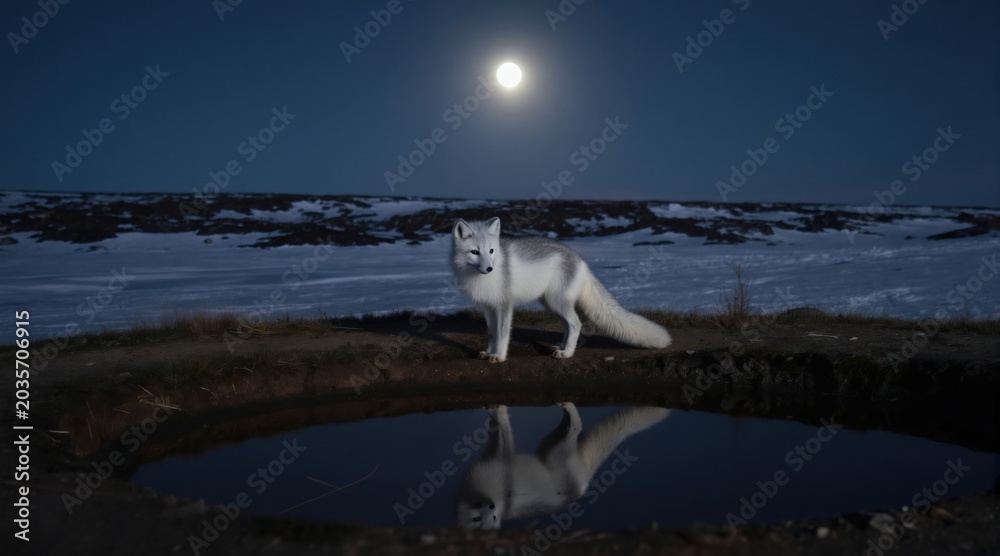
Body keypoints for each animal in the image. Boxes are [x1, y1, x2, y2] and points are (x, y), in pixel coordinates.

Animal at [451, 217, 672, 362]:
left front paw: (499, 356)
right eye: (474, 252)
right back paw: (561, 348)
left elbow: (503, 333)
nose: (489, 268)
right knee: (569, 325)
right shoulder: (488, 307)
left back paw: (567, 354)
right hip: (551, 303)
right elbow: (491, 333)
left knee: (576, 323)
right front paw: (489, 352)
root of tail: (580, 259)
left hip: (556, 301)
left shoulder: (505, 305)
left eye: (491, 251)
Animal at [455, 403, 670, 529]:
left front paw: (496, 409)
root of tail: (583, 485)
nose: (491, 506)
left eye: (492, 517)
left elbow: (502, 424)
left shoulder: (502, 458)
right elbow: (496, 428)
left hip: (558, 449)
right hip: (552, 444)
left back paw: (568, 405)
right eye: (477, 519)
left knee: (576, 426)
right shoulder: (492, 457)